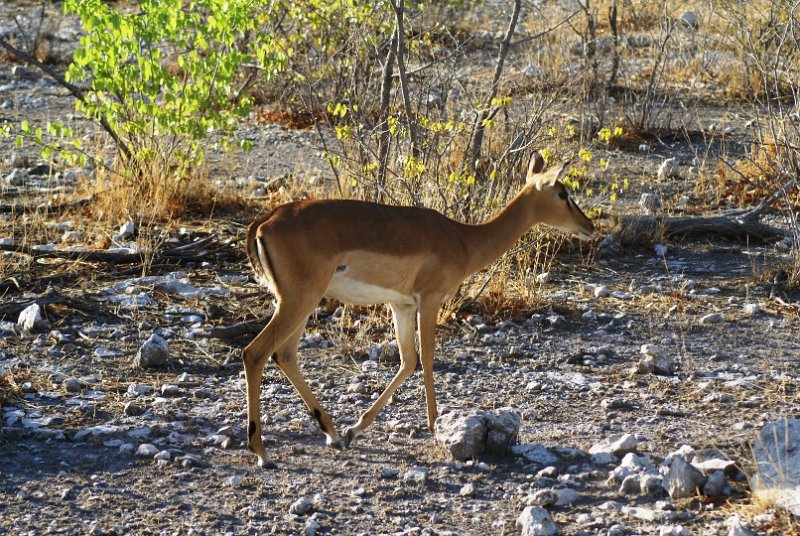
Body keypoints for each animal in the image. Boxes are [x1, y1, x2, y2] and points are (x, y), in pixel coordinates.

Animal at [242, 152, 594, 467]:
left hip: (300, 303)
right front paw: (434, 424)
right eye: (563, 193)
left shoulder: (402, 304)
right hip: (299, 300)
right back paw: (263, 454)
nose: (588, 225)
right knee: (255, 353)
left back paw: (333, 434)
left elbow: (408, 360)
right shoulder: (430, 298)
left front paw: (354, 430)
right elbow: (427, 357)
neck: (464, 239)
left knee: (285, 354)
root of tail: (264, 222)